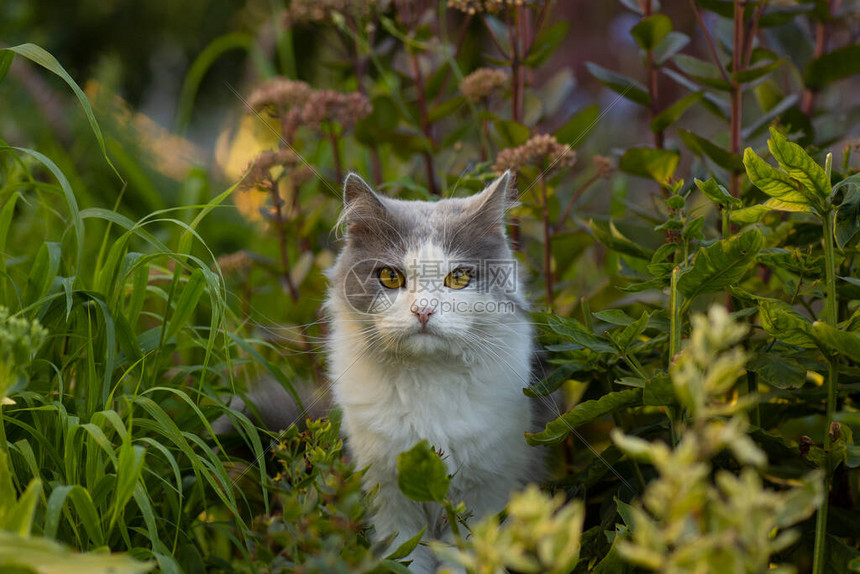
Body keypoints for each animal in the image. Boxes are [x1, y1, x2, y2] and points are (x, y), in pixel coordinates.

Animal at [324, 170, 536, 572]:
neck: (427, 380)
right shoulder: (389, 497)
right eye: (390, 277)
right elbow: (403, 556)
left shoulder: (487, 490)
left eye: (459, 278)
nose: (423, 310)